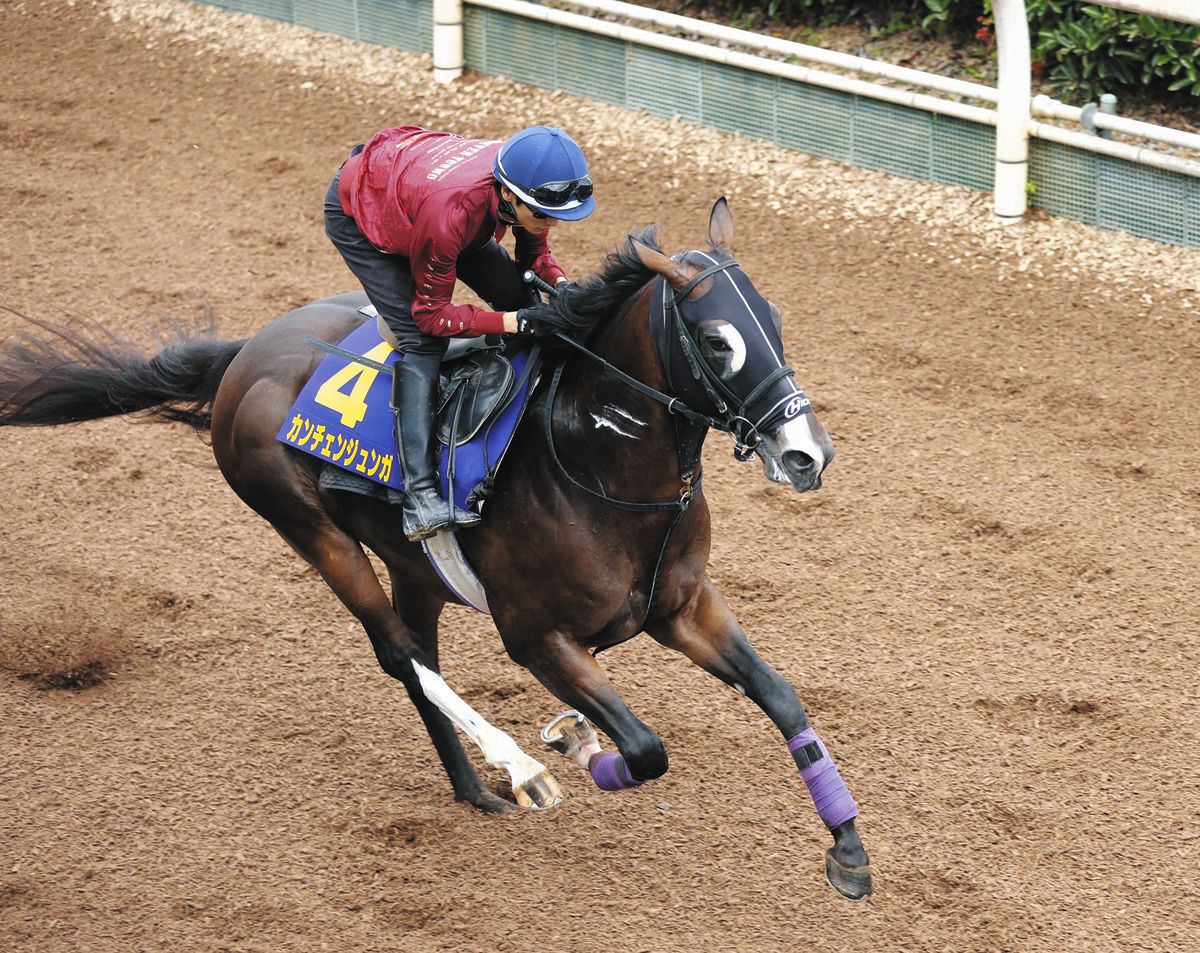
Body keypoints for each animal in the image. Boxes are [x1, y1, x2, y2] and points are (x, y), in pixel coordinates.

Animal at [0, 199, 872, 900]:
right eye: (719, 343)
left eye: (776, 319)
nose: (807, 453)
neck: (595, 462)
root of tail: (247, 351)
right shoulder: (536, 636)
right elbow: (643, 746)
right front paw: (573, 743)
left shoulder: (683, 605)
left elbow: (783, 697)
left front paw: (850, 853)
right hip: (310, 528)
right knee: (399, 652)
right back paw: (517, 770)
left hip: (411, 564)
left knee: (419, 649)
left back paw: (473, 786)